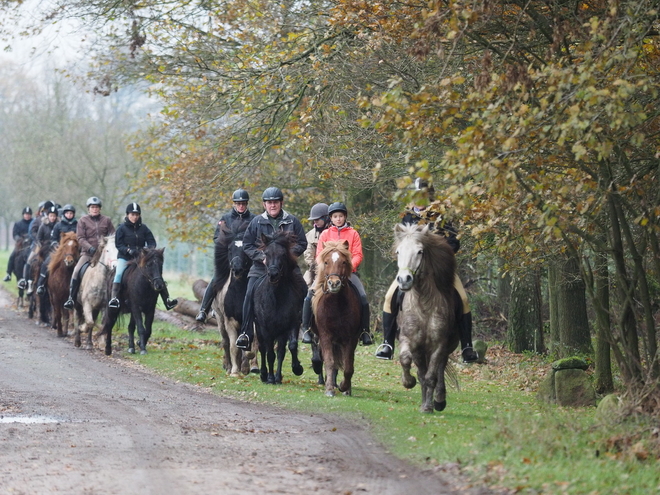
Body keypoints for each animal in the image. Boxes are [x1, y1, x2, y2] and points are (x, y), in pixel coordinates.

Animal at [253, 231, 306, 386]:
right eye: (266, 253)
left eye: (283, 254)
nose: (273, 274)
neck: (277, 297)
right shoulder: (266, 328)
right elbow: (269, 353)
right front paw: (270, 378)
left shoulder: (292, 324)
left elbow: (291, 346)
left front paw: (297, 368)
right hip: (259, 328)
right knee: (262, 348)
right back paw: (265, 375)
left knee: (280, 351)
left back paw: (277, 377)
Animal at [310, 240, 360, 400]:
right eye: (326, 262)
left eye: (344, 262)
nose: (334, 283)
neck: (337, 305)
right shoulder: (325, 336)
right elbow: (330, 362)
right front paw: (329, 389)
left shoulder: (351, 338)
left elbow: (348, 366)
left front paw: (345, 387)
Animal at [392, 223, 458, 412]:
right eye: (398, 251)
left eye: (420, 252)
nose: (404, 280)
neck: (423, 304)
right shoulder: (410, 341)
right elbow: (406, 361)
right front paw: (409, 382)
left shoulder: (438, 345)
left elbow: (431, 376)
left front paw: (429, 406)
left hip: (444, 348)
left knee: (440, 368)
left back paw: (439, 400)